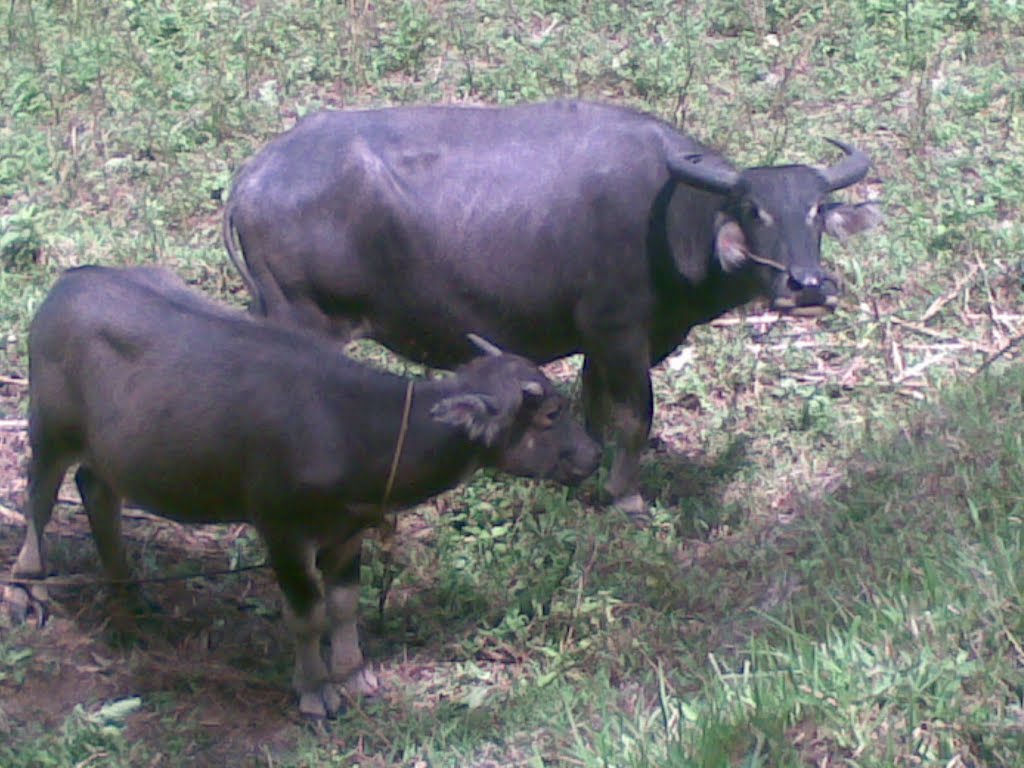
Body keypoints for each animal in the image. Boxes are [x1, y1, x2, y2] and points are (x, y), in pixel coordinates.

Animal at [224, 99, 880, 514]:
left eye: (817, 210)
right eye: (753, 210)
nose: (807, 285)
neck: (670, 219)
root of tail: (252, 179)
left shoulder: (598, 343)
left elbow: (596, 411)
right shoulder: (618, 333)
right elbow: (636, 417)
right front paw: (626, 496)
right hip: (304, 321)